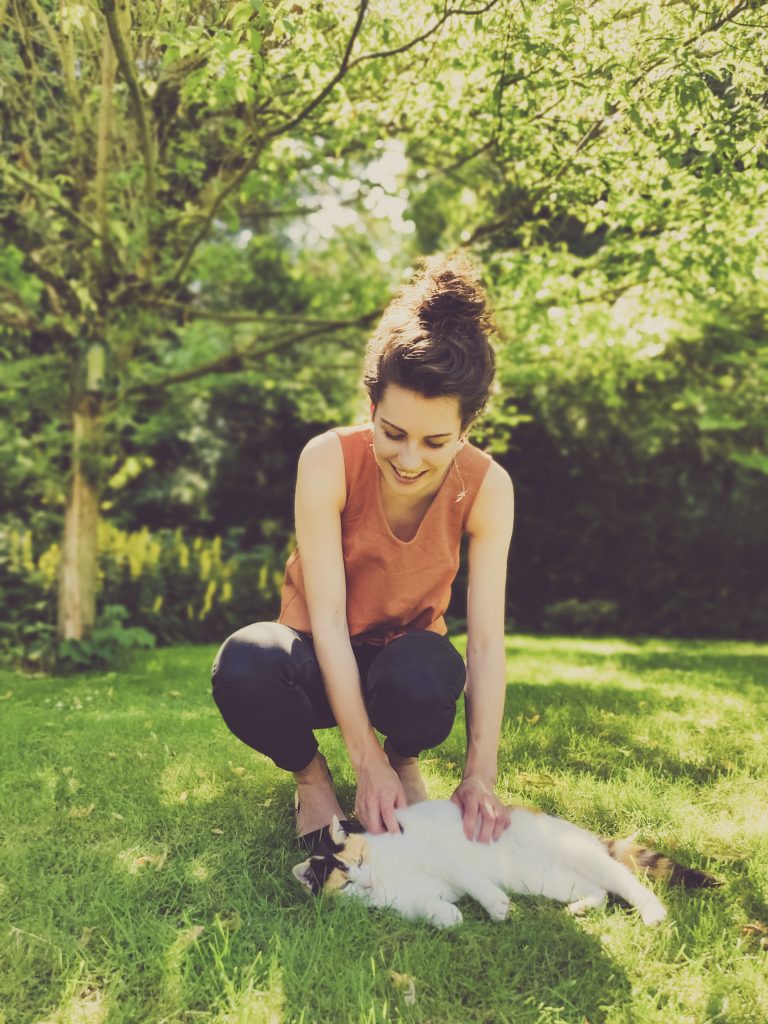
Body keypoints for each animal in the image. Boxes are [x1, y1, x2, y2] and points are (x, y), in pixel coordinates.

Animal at [290, 798, 720, 929]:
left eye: (361, 860)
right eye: (346, 883)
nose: (364, 883)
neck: (387, 872)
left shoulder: (439, 854)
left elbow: (468, 877)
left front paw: (494, 905)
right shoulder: (402, 900)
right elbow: (424, 905)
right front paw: (447, 917)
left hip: (574, 853)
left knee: (624, 880)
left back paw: (653, 911)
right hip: (549, 880)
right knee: (597, 890)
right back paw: (581, 908)